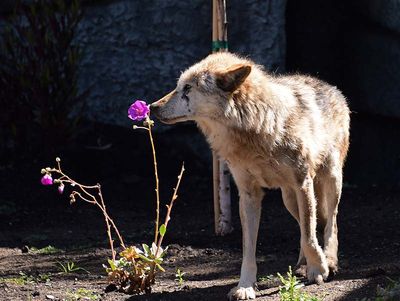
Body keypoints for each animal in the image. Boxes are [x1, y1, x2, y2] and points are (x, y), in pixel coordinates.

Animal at [150, 52, 350, 298]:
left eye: (187, 88)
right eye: (178, 86)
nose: (152, 107)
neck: (255, 127)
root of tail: (329, 86)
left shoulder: (303, 183)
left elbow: (311, 236)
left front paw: (319, 269)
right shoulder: (248, 195)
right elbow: (249, 249)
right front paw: (245, 286)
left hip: (329, 181)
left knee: (330, 222)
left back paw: (329, 260)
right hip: (289, 199)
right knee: (306, 227)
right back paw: (302, 264)